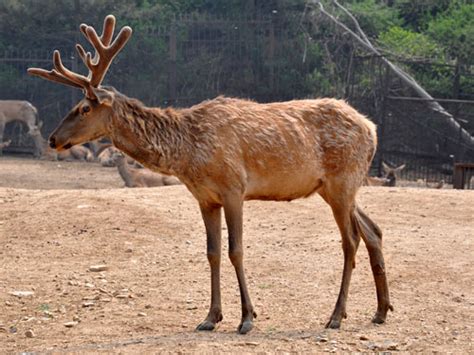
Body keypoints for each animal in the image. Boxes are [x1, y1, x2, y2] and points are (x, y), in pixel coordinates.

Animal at [28, 15, 392, 336]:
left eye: (84, 108)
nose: (53, 139)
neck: (188, 154)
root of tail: (373, 129)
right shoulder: (205, 197)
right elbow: (212, 253)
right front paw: (210, 317)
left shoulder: (234, 187)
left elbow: (236, 250)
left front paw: (247, 319)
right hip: (337, 188)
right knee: (373, 230)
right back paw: (380, 311)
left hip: (342, 181)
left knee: (351, 240)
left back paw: (336, 316)